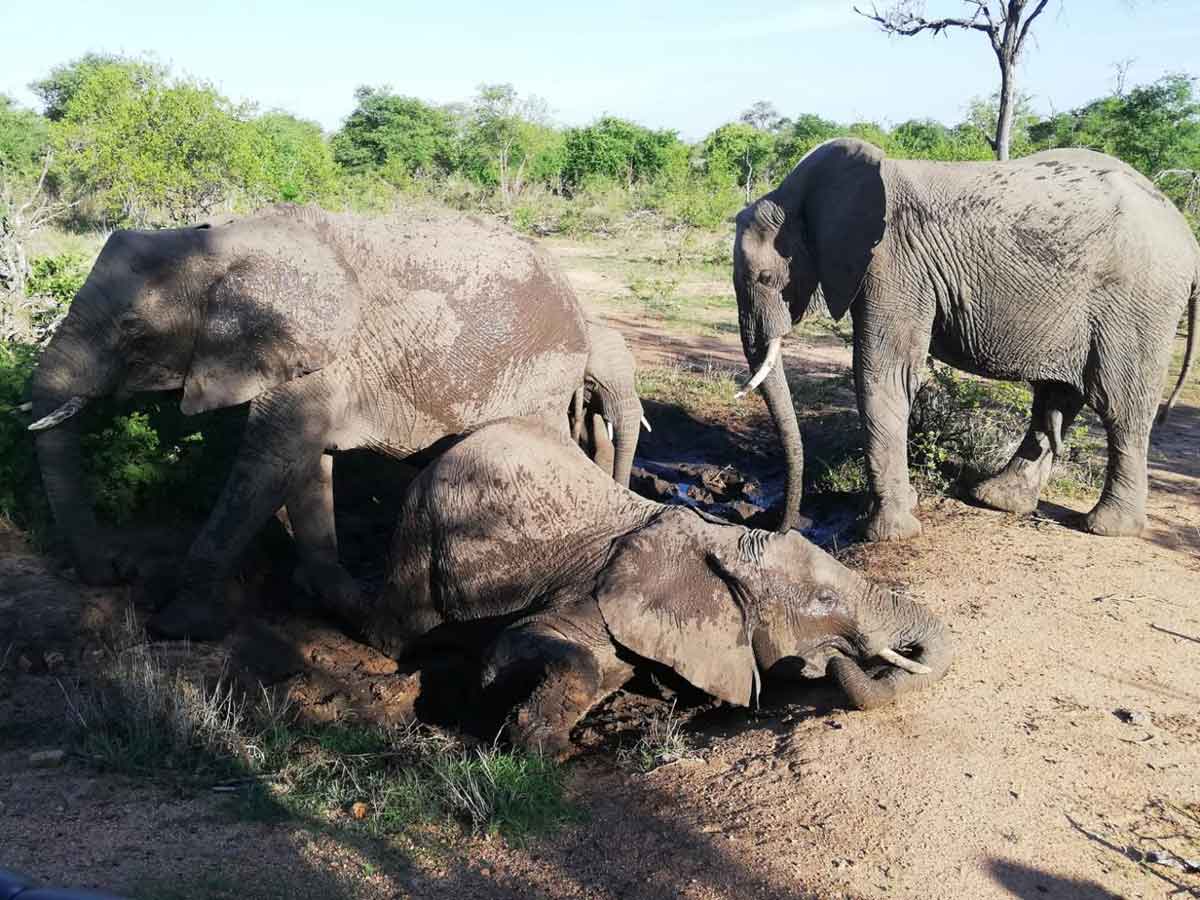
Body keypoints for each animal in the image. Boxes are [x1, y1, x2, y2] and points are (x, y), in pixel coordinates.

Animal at [27, 204, 589, 639]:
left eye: (135, 332)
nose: (115, 571)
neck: (224, 243)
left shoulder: (322, 355)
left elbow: (270, 462)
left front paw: (178, 625)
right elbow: (304, 466)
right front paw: (330, 599)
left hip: (540, 373)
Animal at [354, 417, 952, 757]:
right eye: (825, 602)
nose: (840, 662)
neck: (721, 540)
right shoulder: (597, 593)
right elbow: (515, 649)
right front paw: (545, 750)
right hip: (421, 533)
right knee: (400, 631)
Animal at [733, 138, 1198, 541]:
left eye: (766, 278)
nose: (780, 527)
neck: (802, 193)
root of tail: (1187, 237)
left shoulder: (893, 263)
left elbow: (884, 374)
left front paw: (889, 533)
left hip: (1139, 302)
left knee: (1120, 405)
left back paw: (1106, 527)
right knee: (1057, 399)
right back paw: (996, 500)